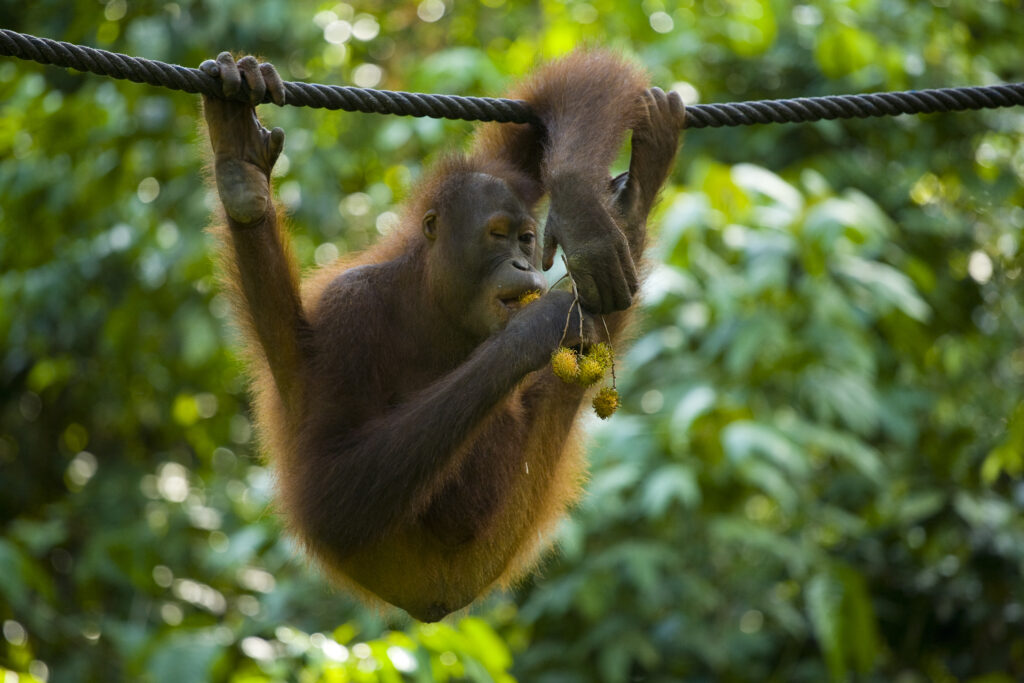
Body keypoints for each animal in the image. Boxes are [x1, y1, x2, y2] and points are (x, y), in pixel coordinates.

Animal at [200, 49, 684, 622]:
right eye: (498, 236)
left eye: (526, 238)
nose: (524, 263)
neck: (434, 302)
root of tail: (437, 593)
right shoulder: (348, 311)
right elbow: (329, 484)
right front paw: (534, 329)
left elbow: (545, 119)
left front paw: (582, 207)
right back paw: (242, 178)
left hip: (508, 521)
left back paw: (636, 195)